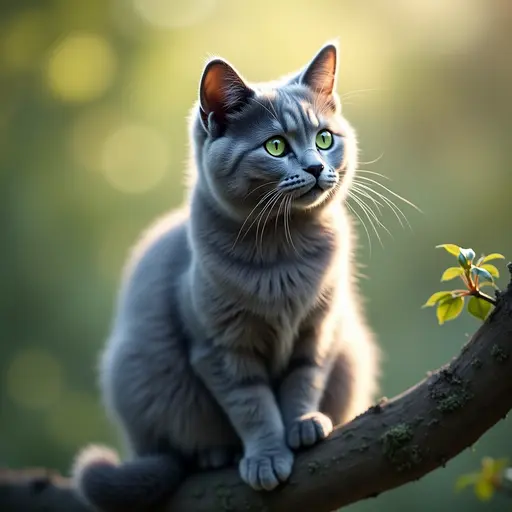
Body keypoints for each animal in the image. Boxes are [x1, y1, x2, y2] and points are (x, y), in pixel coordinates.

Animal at [74, 41, 382, 512]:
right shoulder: (220, 349)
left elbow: (303, 380)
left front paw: (303, 423)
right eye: (275, 145)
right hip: (139, 370)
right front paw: (267, 455)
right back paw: (214, 454)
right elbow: (252, 406)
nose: (315, 167)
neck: (282, 254)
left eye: (324, 139)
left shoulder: (320, 331)